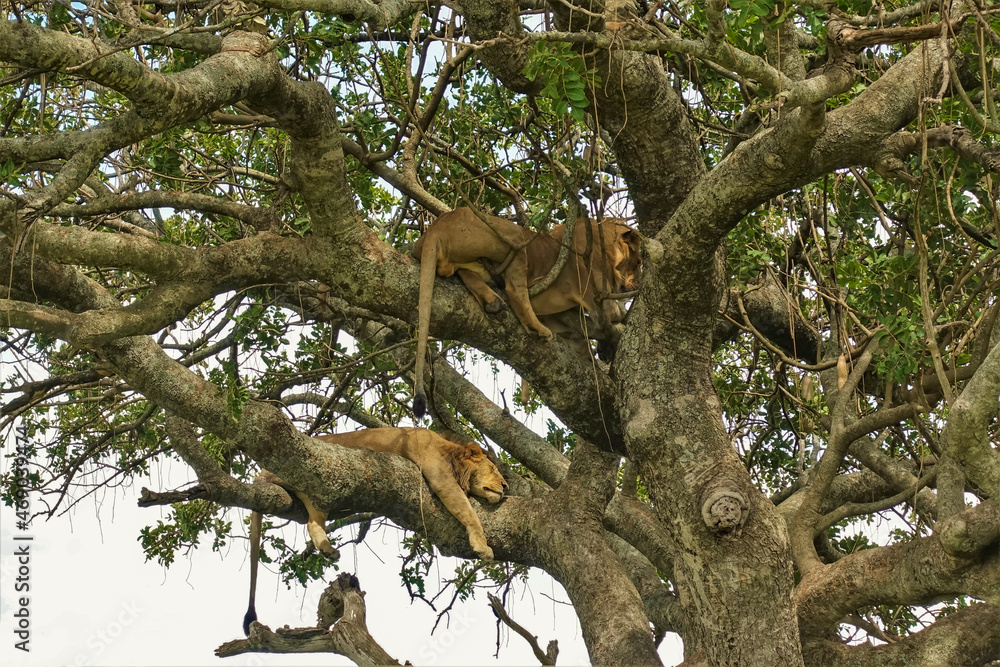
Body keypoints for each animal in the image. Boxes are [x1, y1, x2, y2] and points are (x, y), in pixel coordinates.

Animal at [243, 427, 508, 635]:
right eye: (494, 469)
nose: (506, 486)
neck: (449, 452)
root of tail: (261, 472)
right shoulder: (441, 478)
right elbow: (469, 513)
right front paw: (482, 547)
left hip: (317, 494)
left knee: (312, 522)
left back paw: (329, 550)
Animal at [410, 207, 641, 416]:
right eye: (638, 261)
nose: (637, 284)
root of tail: (433, 229)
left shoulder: (564, 314)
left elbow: (587, 333)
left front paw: (601, 352)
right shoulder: (596, 298)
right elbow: (609, 320)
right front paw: (608, 345)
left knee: (464, 272)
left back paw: (493, 303)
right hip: (514, 236)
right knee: (515, 290)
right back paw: (536, 329)